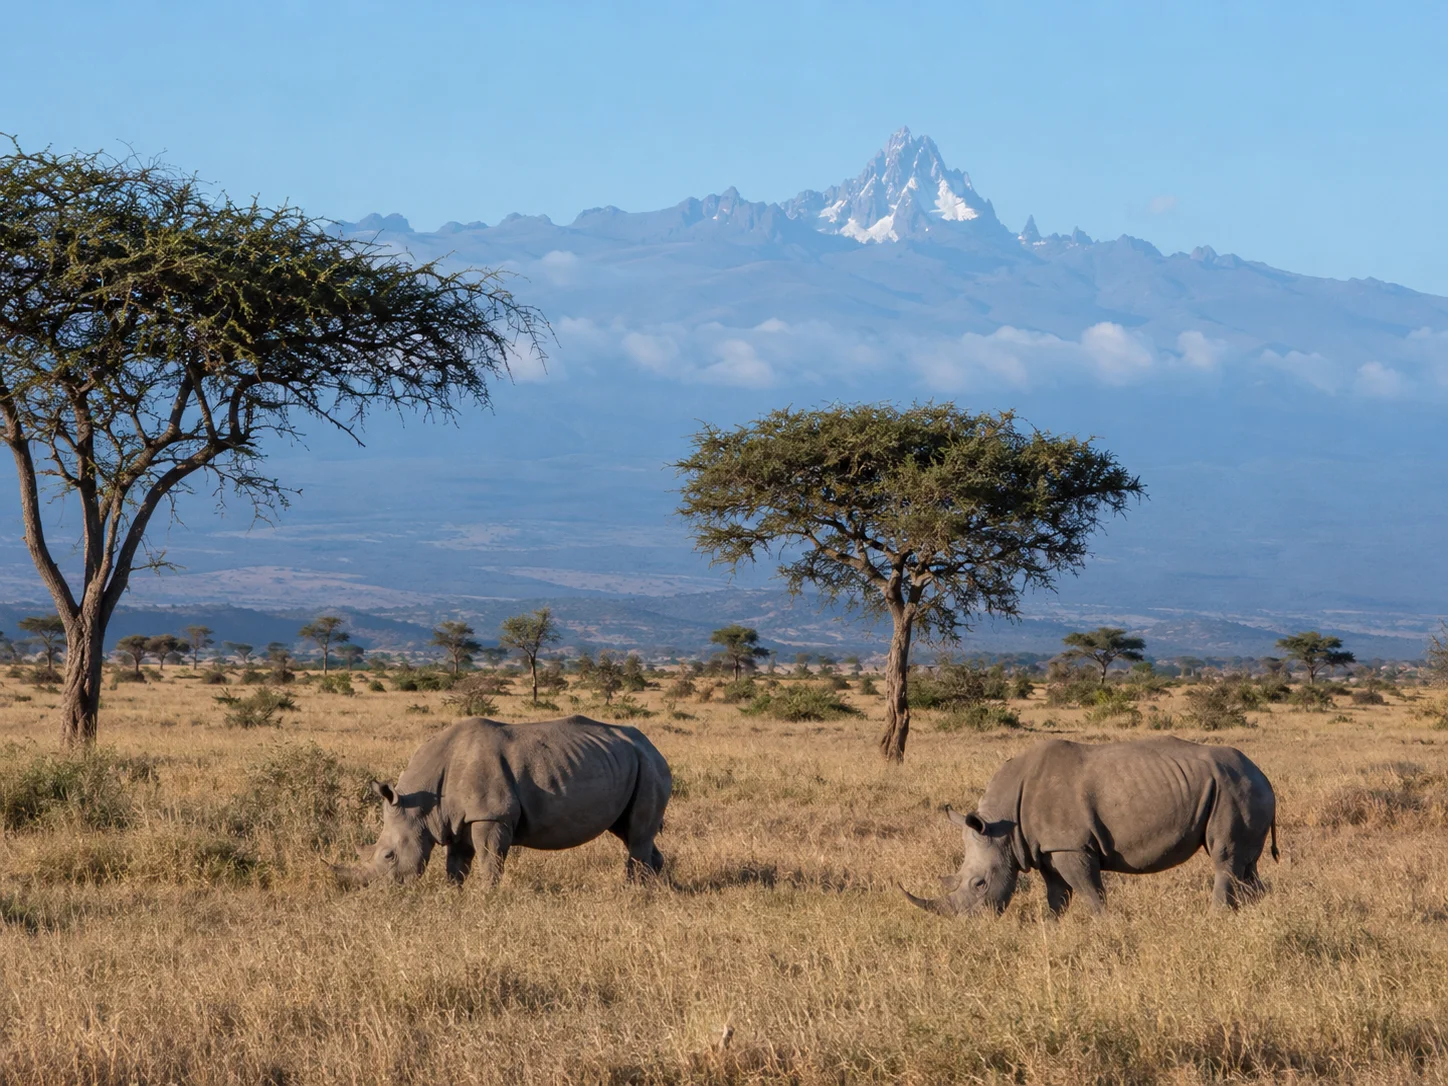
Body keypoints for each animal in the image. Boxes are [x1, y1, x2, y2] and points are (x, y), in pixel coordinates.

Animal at [335, 715, 671, 888]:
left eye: (389, 856)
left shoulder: (491, 815)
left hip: (649, 765)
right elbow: (456, 864)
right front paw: (453, 895)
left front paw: (486, 897)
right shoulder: (457, 818)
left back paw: (634, 892)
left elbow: (489, 860)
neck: (421, 802)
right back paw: (662, 890)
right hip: (628, 763)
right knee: (630, 831)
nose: (380, 892)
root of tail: (652, 745)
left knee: (637, 835)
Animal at [901, 736, 1278, 917]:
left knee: (1225, 858)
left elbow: (1089, 892)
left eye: (979, 884)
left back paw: (1215, 918)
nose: (967, 925)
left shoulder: (1070, 845)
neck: (1002, 826)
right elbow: (1058, 896)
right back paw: (1252, 914)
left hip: (1233, 788)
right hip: (1240, 788)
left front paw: (1107, 926)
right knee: (1246, 864)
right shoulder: (1047, 848)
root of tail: (1263, 774)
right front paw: (1051, 928)